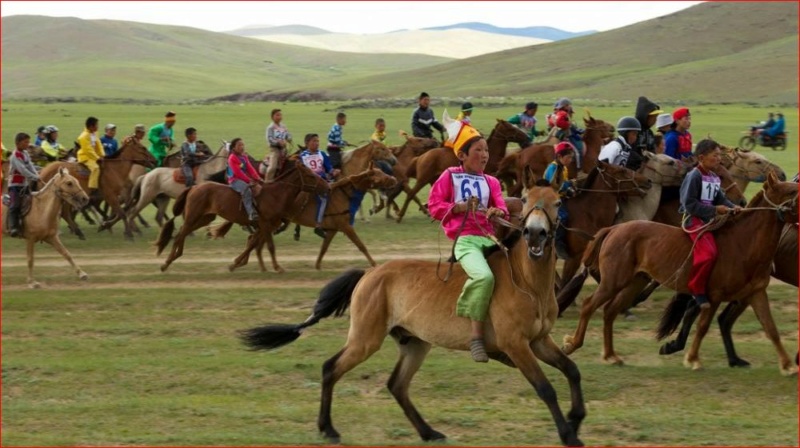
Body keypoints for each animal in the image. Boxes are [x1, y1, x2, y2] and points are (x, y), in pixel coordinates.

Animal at [155, 161, 330, 272]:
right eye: (310, 175)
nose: (327, 186)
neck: (275, 194)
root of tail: (193, 188)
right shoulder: (265, 224)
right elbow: (269, 246)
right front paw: (277, 267)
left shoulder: (265, 226)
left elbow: (252, 244)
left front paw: (235, 264)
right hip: (193, 216)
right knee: (180, 234)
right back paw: (166, 262)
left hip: (205, 218)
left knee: (182, 233)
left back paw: (173, 258)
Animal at [212, 167, 400, 272]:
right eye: (379, 175)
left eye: (382, 171)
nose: (394, 179)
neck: (344, 195)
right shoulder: (345, 226)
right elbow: (361, 245)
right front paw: (375, 264)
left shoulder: (333, 229)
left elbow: (324, 248)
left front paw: (317, 265)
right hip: (270, 223)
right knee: (255, 241)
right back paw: (240, 263)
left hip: (269, 223)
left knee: (255, 240)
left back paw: (254, 265)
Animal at [396, 120, 536, 223]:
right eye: (511, 128)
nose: (526, 137)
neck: (491, 154)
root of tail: (421, 156)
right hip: (423, 179)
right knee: (411, 194)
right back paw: (400, 216)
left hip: (432, 180)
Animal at [560, 172, 796, 374]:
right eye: (793, 192)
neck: (743, 243)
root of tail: (613, 229)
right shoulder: (714, 295)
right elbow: (702, 326)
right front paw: (692, 359)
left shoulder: (755, 293)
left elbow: (771, 328)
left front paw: (788, 365)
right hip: (613, 281)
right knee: (589, 305)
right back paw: (572, 344)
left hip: (634, 282)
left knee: (610, 311)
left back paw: (611, 355)